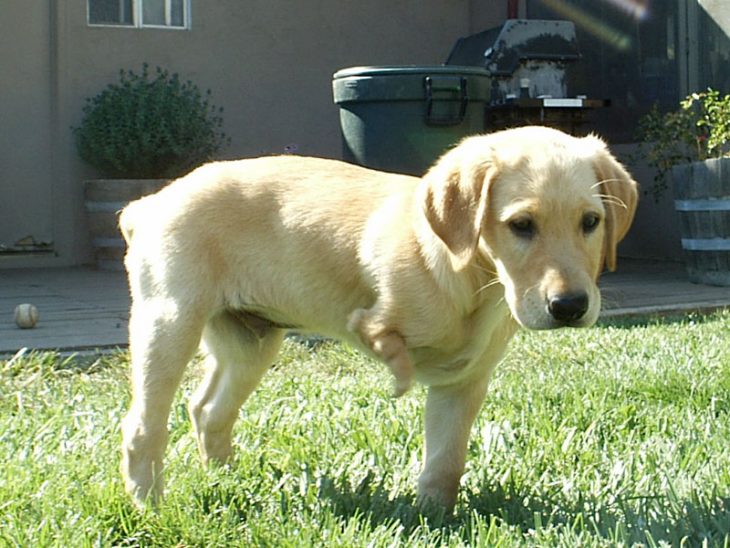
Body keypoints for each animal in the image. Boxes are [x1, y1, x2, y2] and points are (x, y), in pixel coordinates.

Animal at [119, 125, 636, 510]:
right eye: (521, 226)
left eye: (590, 222)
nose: (570, 306)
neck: (472, 278)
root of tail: (149, 203)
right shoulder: (367, 318)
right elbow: (380, 332)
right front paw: (399, 374)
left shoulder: (464, 383)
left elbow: (446, 462)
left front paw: (435, 516)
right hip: (170, 321)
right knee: (144, 425)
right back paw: (151, 505)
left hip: (251, 341)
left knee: (208, 411)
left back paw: (226, 480)